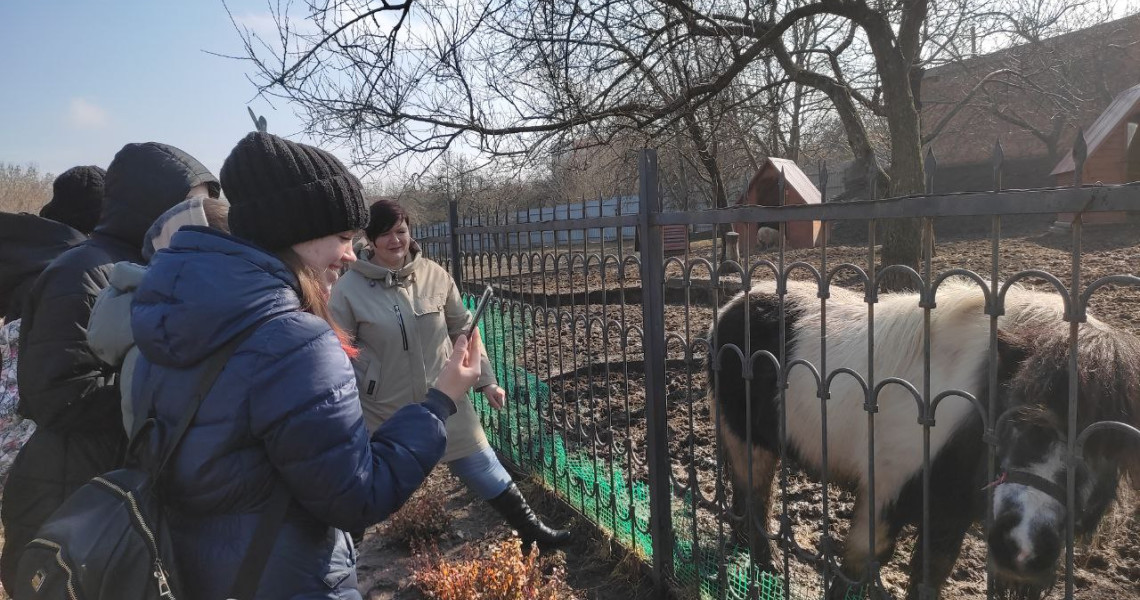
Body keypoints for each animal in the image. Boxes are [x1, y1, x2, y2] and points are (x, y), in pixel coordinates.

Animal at [706, 280, 1135, 600]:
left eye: (1109, 449)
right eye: (1016, 415)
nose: (1023, 548)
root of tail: (731, 306)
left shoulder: (949, 515)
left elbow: (931, 575)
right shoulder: (883, 494)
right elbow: (860, 564)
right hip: (744, 438)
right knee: (754, 494)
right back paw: (763, 566)